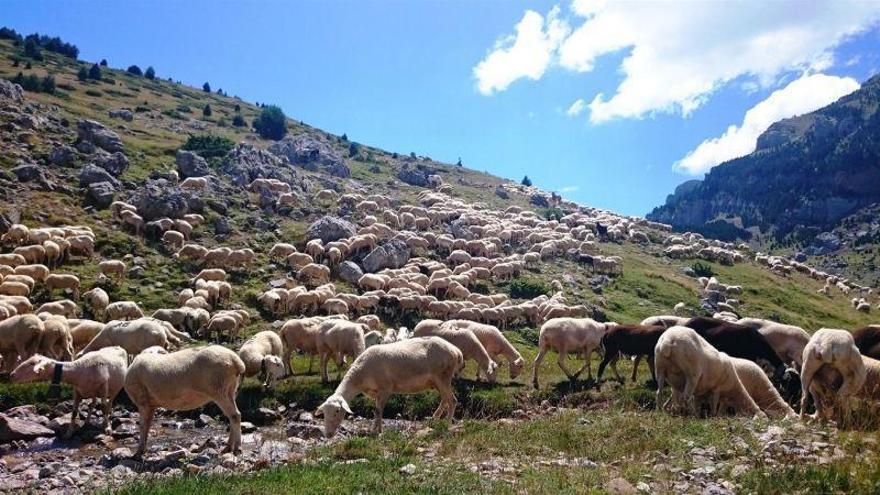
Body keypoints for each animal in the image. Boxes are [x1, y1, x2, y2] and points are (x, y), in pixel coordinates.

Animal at [318, 338, 468, 438]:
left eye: (337, 412)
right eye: (324, 413)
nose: (328, 435)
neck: (360, 376)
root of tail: (456, 351)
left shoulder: (385, 389)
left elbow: (379, 411)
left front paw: (378, 431)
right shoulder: (376, 392)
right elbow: (375, 411)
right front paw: (373, 429)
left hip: (443, 376)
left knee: (452, 400)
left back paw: (447, 425)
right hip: (437, 381)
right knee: (445, 399)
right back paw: (434, 418)